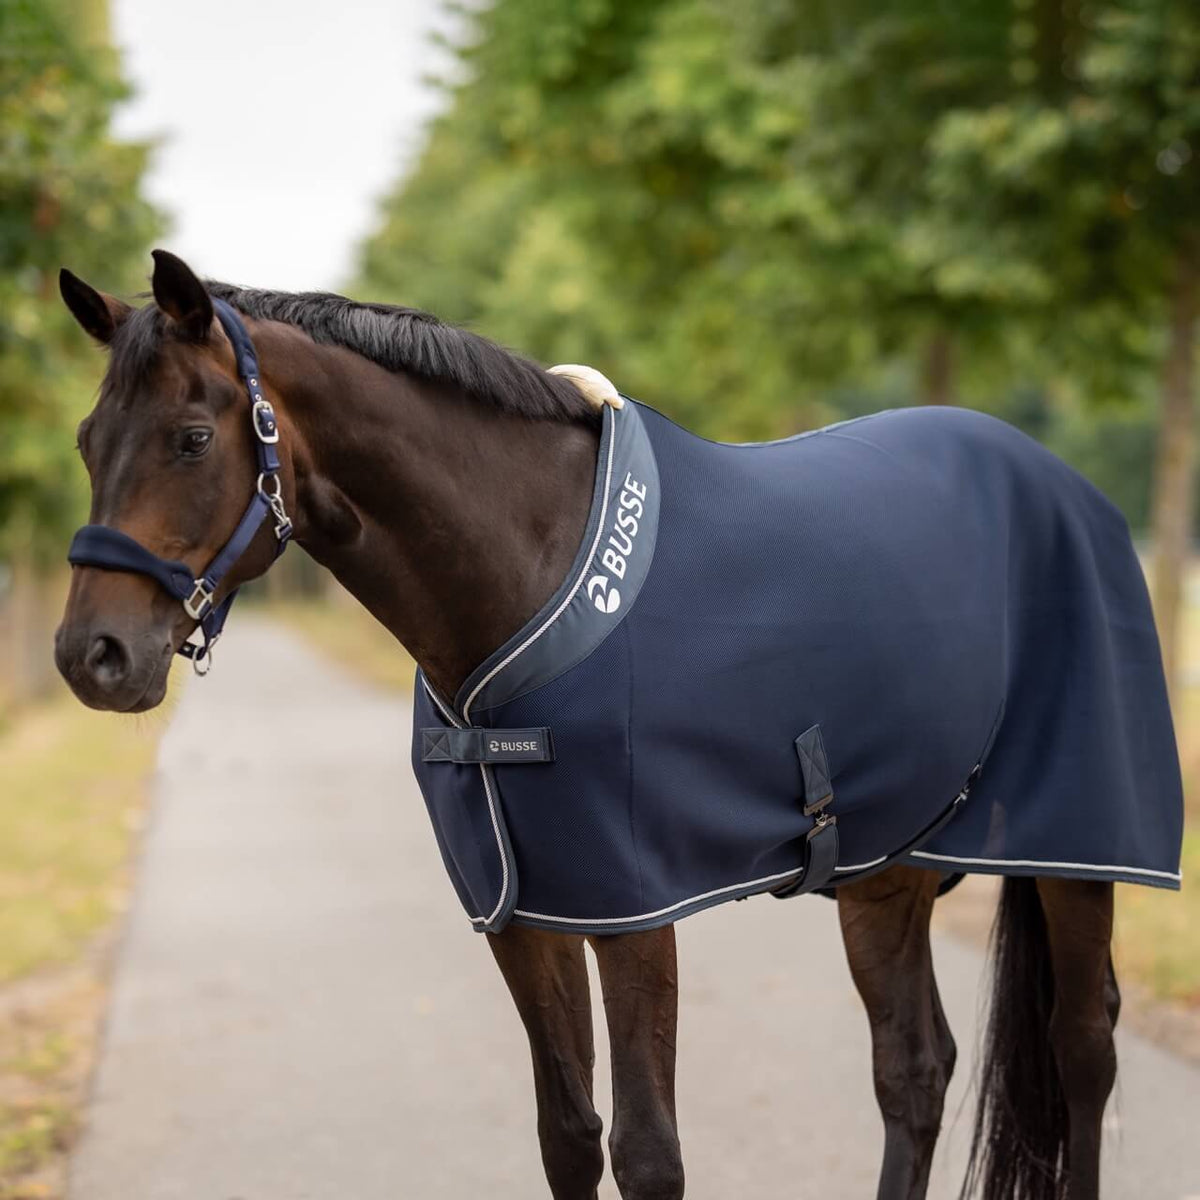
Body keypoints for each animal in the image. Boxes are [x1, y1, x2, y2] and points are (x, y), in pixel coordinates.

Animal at [53, 249, 1181, 1200]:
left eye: (194, 438)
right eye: (86, 442)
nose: (90, 656)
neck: (527, 567)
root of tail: (1068, 490)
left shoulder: (633, 907)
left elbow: (648, 1154)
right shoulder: (524, 910)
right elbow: (569, 1137)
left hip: (1079, 842)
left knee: (1082, 1048)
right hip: (885, 869)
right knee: (913, 1071)